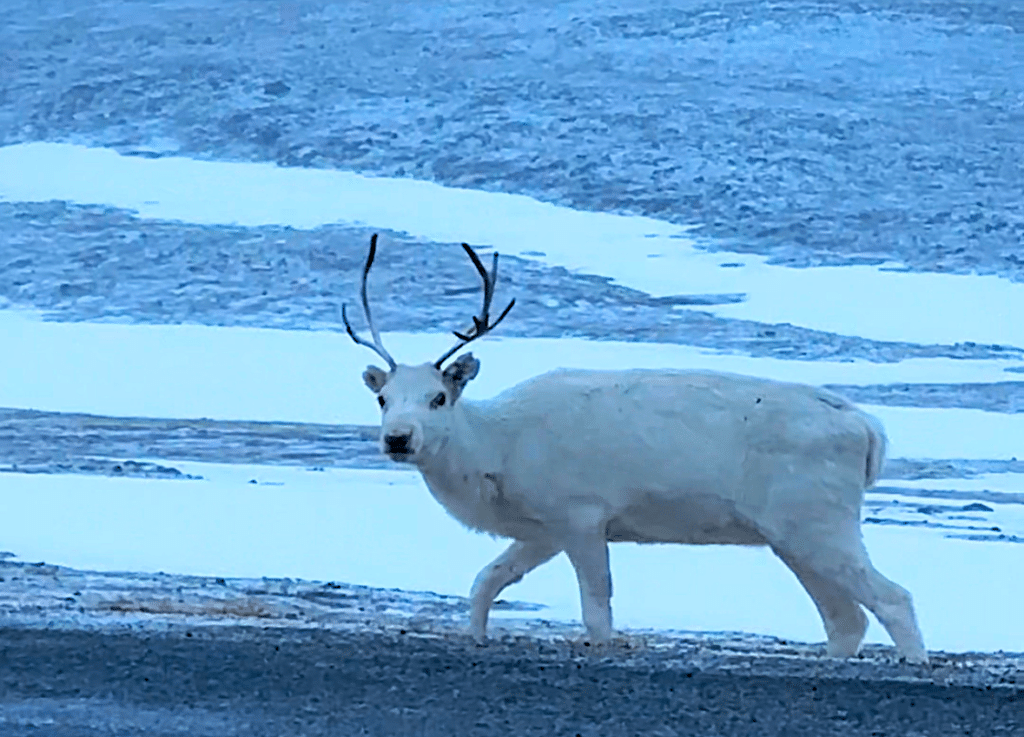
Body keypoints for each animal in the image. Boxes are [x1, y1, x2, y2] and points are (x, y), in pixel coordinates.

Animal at [343, 234, 928, 664]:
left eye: (438, 397)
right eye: (382, 397)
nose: (398, 438)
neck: (497, 451)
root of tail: (867, 429)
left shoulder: (582, 511)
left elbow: (597, 607)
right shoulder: (543, 528)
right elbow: (486, 581)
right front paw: (477, 635)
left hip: (817, 518)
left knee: (893, 598)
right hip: (792, 533)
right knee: (846, 619)